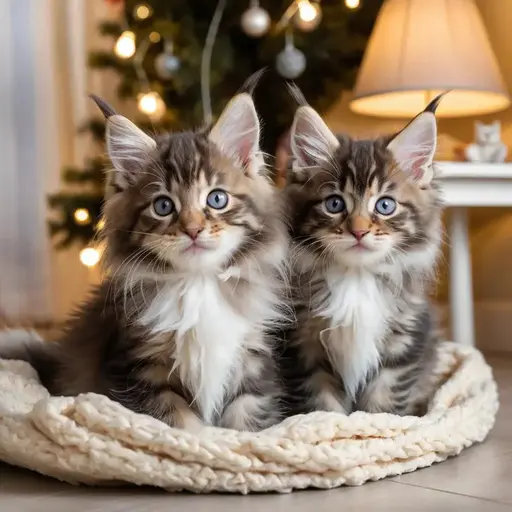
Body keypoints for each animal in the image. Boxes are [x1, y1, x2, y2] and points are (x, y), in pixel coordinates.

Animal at [0, 78, 288, 430]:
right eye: (163, 206)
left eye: (217, 199)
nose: (193, 229)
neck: (198, 283)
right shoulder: (141, 371)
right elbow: (183, 428)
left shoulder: (252, 367)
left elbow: (245, 426)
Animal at [282, 94, 446, 418]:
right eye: (334, 204)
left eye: (385, 205)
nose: (358, 231)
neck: (356, 278)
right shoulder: (304, 345)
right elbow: (322, 406)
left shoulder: (403, 341)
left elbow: (383, 404)